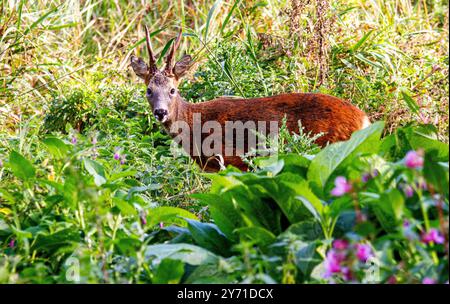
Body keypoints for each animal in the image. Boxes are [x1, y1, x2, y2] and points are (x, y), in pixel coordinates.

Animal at [130, 27, 370, 172]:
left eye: (172, 90)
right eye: (149, 90)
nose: (160, 112)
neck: (195, 123)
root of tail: (364, 119)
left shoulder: (229, 161)